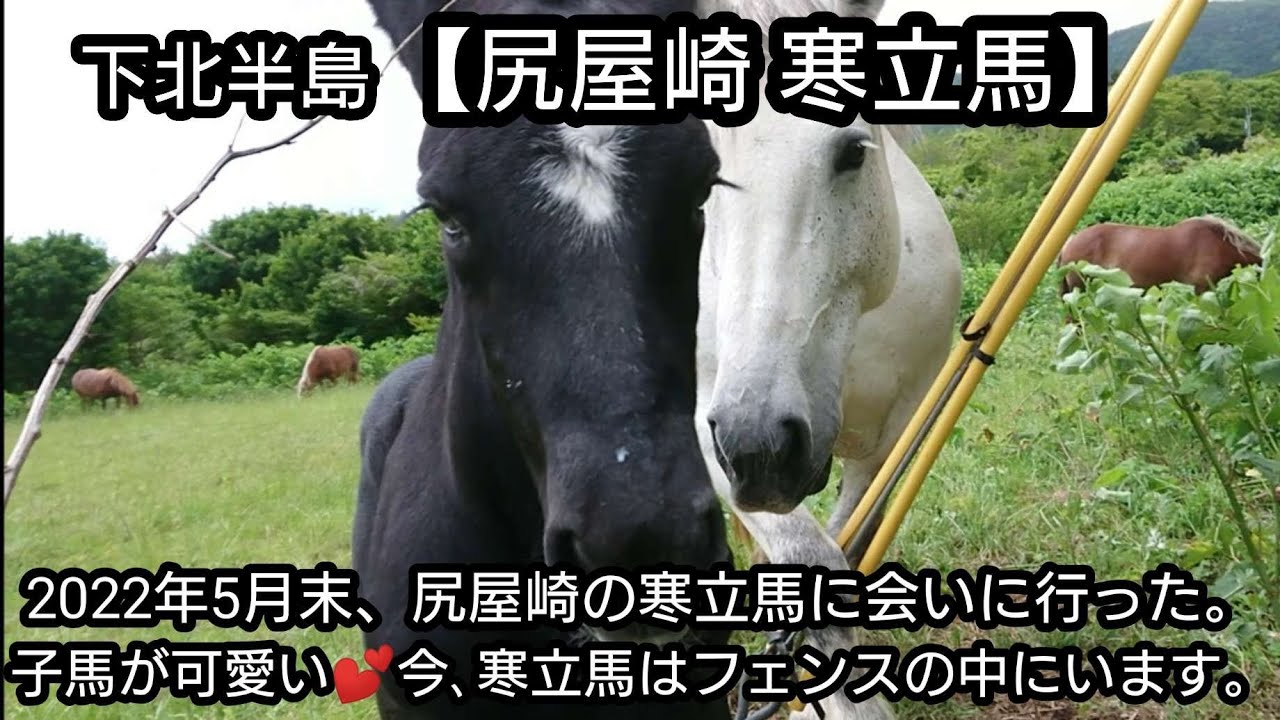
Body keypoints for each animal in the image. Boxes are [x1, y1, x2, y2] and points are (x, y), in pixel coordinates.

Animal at [693, 2, 963, 718]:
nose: (758, 444)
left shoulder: (892, 436)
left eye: (852, 151)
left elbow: (847, 551)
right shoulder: (708, 431)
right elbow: (813, 563)